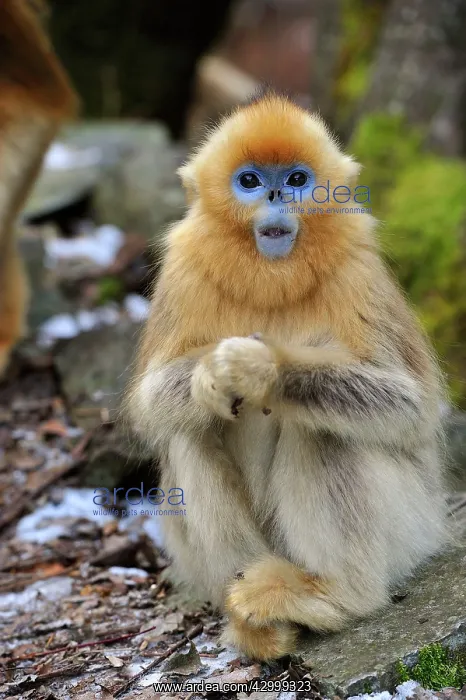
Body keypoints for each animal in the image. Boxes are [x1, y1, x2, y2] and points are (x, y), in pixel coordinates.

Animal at [126, 90, 447, 661]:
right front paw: (211, 375)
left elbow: (409, 407)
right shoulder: (183, 269)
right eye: (250, 181)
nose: (276, 195)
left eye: (297, 179)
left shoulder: (358, 269)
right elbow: (151, 401)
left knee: (325, 427)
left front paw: (262, 369)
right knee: (190, 429)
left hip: (415, 523)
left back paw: (333, 596)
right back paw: (251, 614)